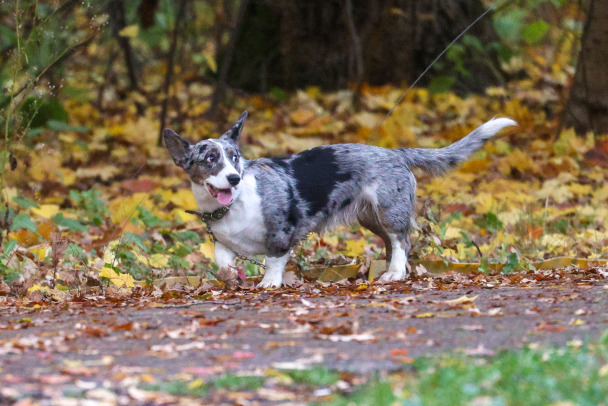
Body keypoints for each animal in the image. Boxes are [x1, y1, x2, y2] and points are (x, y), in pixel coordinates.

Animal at [164, 111, 516, 288]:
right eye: (210, 159)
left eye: (234, 158)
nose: (234, 179)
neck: (234, 204)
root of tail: (397, 153)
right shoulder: (224, 242)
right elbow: (223, 262)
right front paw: (230, 278)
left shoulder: (281, 233)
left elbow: (273, 260)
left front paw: (269, 283)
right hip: (370, 217)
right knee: (393, 244)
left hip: (389, 211)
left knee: (402, 242)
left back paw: (394, 274)